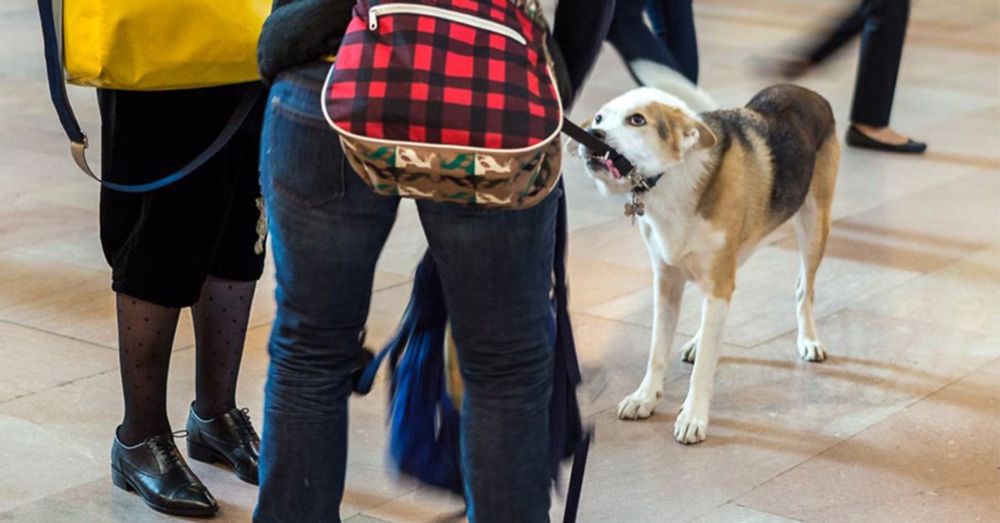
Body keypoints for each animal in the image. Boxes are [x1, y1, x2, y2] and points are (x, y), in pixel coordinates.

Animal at [576, 84, 840, 444]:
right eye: (600, 118)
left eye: (637, 120)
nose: (592, 133)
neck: (672, 182)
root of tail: (805, 91)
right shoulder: (667, 284)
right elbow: (656, 352)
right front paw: (645, 398)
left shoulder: (717, 282)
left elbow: (704, 368)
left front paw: (693, 417)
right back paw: (698, 340)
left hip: (814, 227)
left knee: (804, 290)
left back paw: (809, 341)